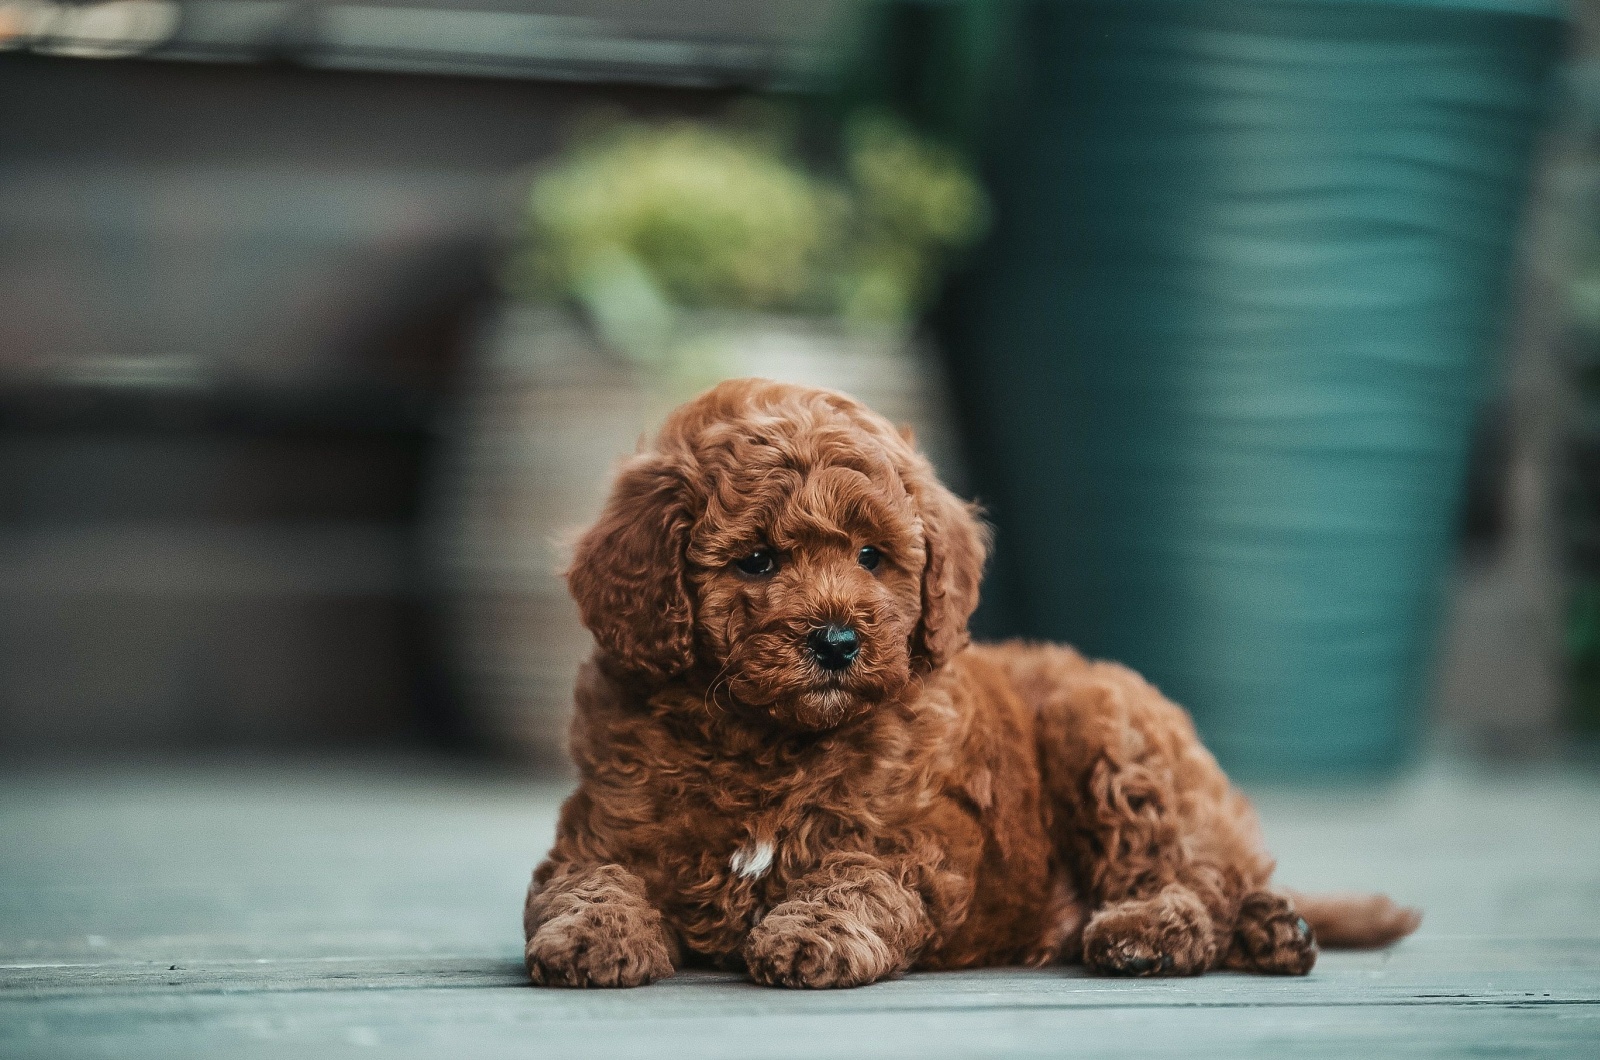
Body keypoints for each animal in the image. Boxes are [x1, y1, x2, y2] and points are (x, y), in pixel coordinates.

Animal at [528, 377, 1427, 992]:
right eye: (756, 561)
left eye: (871, 556)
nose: (837, 641)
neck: (768, 739)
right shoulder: (603, 827)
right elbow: (586, 881)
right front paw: (589, 936)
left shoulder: (910, 840)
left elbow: (857, 877)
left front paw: (813, 933)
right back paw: (1274, 929)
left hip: (1109, 736)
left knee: (1196, 875)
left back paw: (1155, 930)